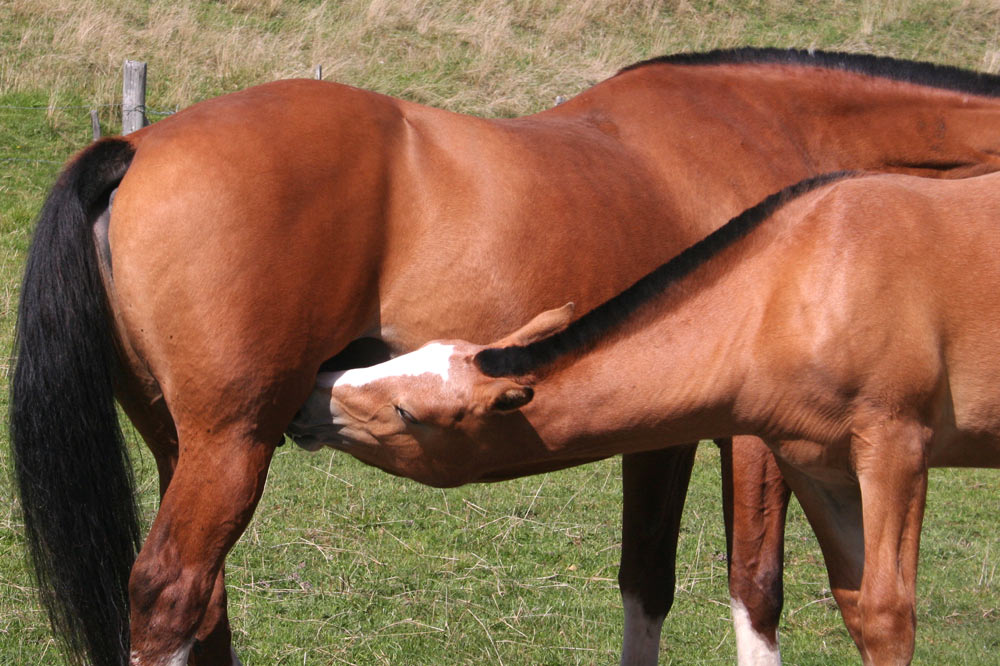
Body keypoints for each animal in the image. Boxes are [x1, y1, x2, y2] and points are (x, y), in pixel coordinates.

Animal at [290, 172, 1000, 664]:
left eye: (407, 410)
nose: (309, 394)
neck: (802, 284)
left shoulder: (894, 449)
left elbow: (887, 614)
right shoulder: (816, 467)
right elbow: (855, 605)